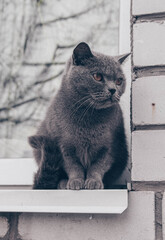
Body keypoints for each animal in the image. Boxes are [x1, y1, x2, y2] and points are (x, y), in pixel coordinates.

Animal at [28, 42, 129, 189]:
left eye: (119, 81)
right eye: (97, 76)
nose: (113, 90)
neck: (88, 116)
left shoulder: (110, 147)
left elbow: (98, 166)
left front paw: (94, 182)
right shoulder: (64, 146)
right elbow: (73, 166)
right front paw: (75, 181)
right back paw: (63, 183)